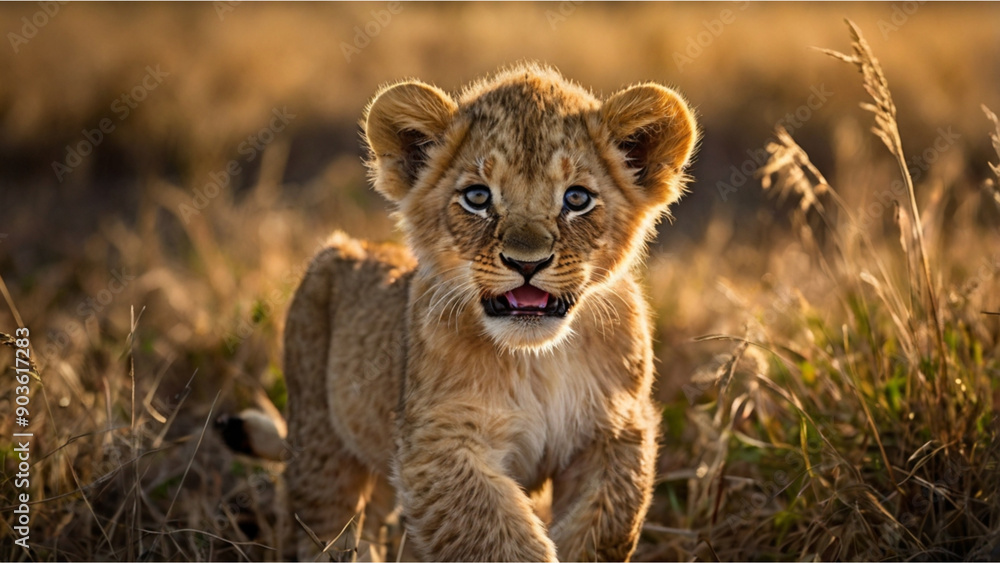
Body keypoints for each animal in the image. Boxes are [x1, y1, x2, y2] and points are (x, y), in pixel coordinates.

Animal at [220, 62, 698, 562]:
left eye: (577, 199)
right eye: (477, 197)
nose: (527, 263)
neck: (538, 358)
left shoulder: (616, 431)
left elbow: (605, 525)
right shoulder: (436, 442)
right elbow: (492, 534)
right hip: (320, 433)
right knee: (326, 522)